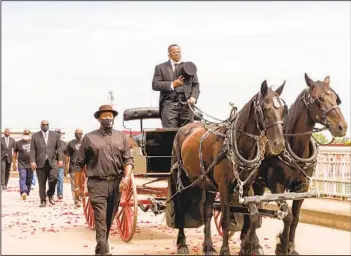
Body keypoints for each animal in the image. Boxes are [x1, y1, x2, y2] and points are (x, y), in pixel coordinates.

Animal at [170, 80, 288, 256]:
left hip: (208, 183)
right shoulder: (224, 186)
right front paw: (225, 250)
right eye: (266, 109)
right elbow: (225, 218)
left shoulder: (246, 186)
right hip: (182, 178)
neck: (238, 145)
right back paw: (182, 243)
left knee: (207, 212)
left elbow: (253, 216)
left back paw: (208, 246)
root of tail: (184, 128)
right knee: (180, 207)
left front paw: (247, 246)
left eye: (283, 111)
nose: (278, 143)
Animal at [245, 73, 350, 255]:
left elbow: (296, 217)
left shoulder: (302, 187)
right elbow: (288, 216)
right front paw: (282, 246)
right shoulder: (276, 185)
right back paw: (251, 243)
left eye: (336, 98)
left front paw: (290, 246)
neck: (294, 147)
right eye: (319, 99)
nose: (341, 126)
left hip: (258, 184)